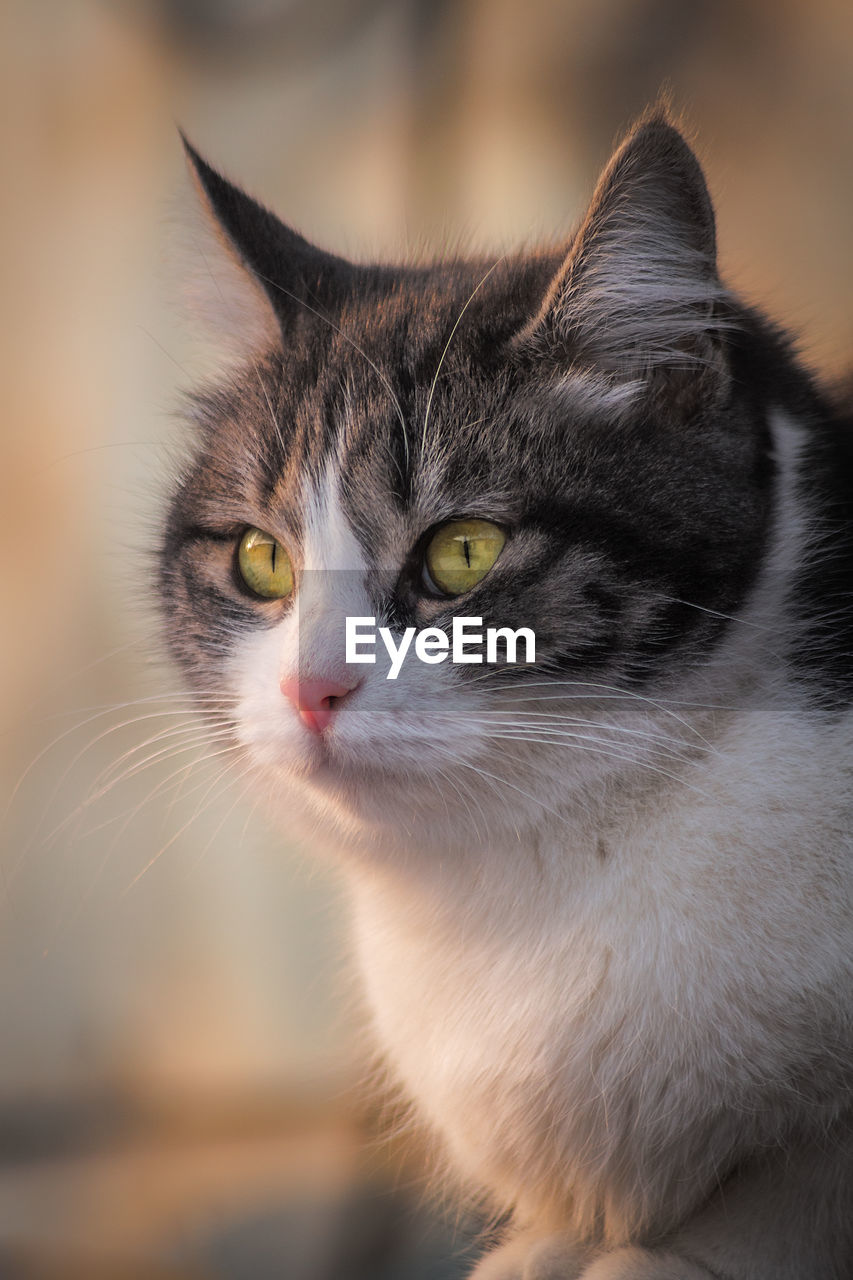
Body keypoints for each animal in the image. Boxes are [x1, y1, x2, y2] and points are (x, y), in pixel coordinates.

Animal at [161, 112, 850, 1280]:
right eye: (260, 559)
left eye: (463, 551)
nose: (310, 688)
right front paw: (545, 1248)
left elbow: (784, 1196)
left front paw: (665, 1255)